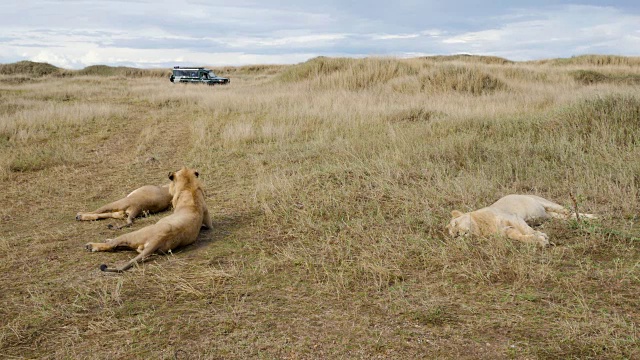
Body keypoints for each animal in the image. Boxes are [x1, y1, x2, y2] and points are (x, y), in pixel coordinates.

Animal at [448, 194, 596, 248]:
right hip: (550, 215)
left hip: (547, 204)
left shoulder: (513, 218)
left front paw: (540, 236)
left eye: (455, 223)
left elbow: (527, 229)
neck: (480, 227)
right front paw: (538, 240)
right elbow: (519, 236)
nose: (457, 234)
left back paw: (594, 217)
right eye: (452, 235)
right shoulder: (506, 230)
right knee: (567, 217)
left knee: (570, 211)